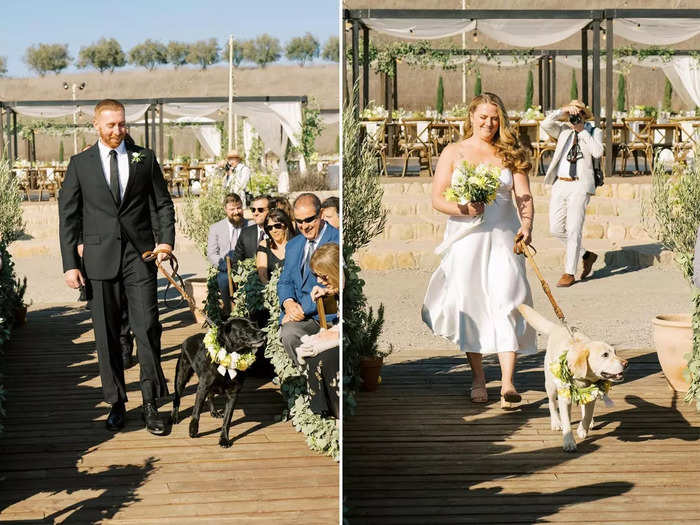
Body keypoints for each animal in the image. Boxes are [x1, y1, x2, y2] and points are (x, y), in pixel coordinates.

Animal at [172, 316, 266, 446]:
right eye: (245, 328)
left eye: (255, 325)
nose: (263, 333)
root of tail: (188, 339)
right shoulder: (202, 387)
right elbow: (196, 412)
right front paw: (193, 430)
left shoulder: (233, 394)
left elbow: (227, 420)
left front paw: (224, 439)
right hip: (181, 376)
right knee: (177, 398)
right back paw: (175, 417)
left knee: (210, 396)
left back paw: (214, 411)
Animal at [516, 302, 628, 450]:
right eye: (605, 355)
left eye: (615, 352)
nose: (626, 363)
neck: (583, 379)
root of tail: (557, 328)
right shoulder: (564, 397)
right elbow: (566, 422)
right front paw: (569, 441)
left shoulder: (592, 394)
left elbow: (587, 415)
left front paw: (582, 429)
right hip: (551, 386)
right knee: (552, 404)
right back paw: (556, 422)